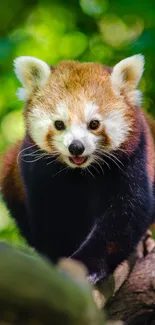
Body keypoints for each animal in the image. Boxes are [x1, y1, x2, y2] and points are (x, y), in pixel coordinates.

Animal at [0, 53, 155, 280]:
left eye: (94, 124)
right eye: (59, 124)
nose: (76, 147)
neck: (81, 172)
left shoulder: (133, 158)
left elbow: (126, 213)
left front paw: (87, 265)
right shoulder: (37, 170)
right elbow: (50, 218)